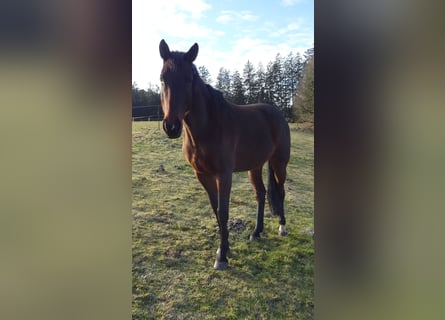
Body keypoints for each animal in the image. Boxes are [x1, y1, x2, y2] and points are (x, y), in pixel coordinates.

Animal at [158, 40, 290, 270]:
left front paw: (222, 257)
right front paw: (224, 249)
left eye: (188, 79)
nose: (172, 127)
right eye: (162, 78)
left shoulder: (224, 175)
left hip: (279, 163)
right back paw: (256, 232)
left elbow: (223, 211)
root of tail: (278, 114)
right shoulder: (203, 175)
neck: (208, 127)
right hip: (255, 166)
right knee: (261, 194)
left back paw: (282, 227)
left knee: (280, 191)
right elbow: (215, 210)